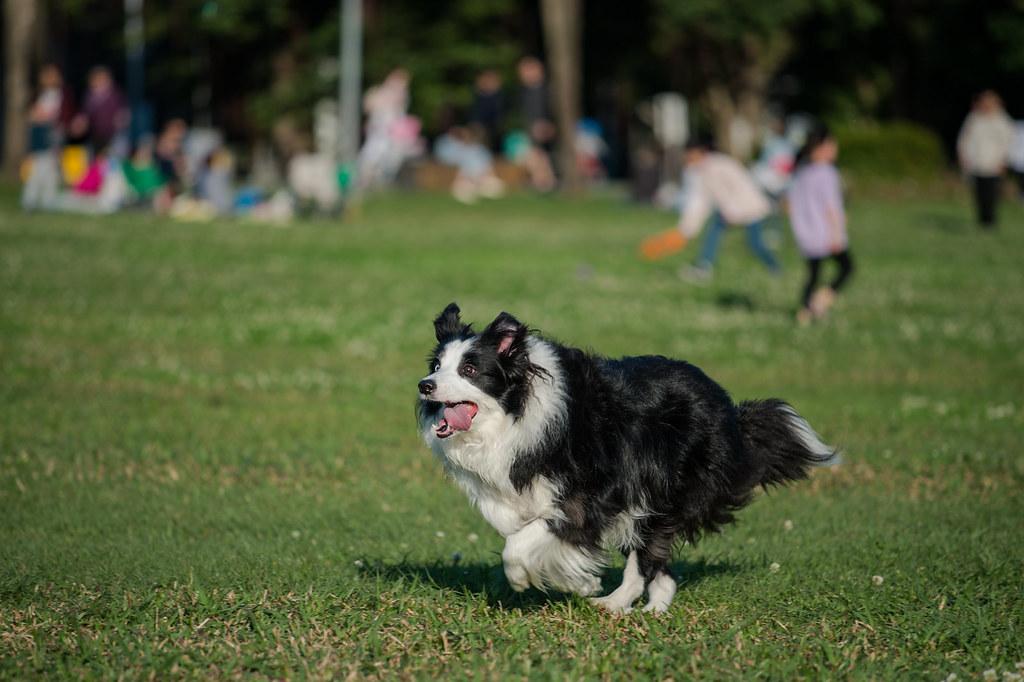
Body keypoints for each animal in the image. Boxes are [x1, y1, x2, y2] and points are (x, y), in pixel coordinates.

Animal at [419, 303, 835, 610]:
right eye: (437, 366)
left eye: (470, 369)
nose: (425, 386)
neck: (513, 412)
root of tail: (730, 410)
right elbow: (526, 535)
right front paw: (578, 580)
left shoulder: (588, 494)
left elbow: (523, 542)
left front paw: (542, 579)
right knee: (656, 560)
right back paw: (637, 606)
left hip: (666, 484)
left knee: (648, 549)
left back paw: (619, 603)